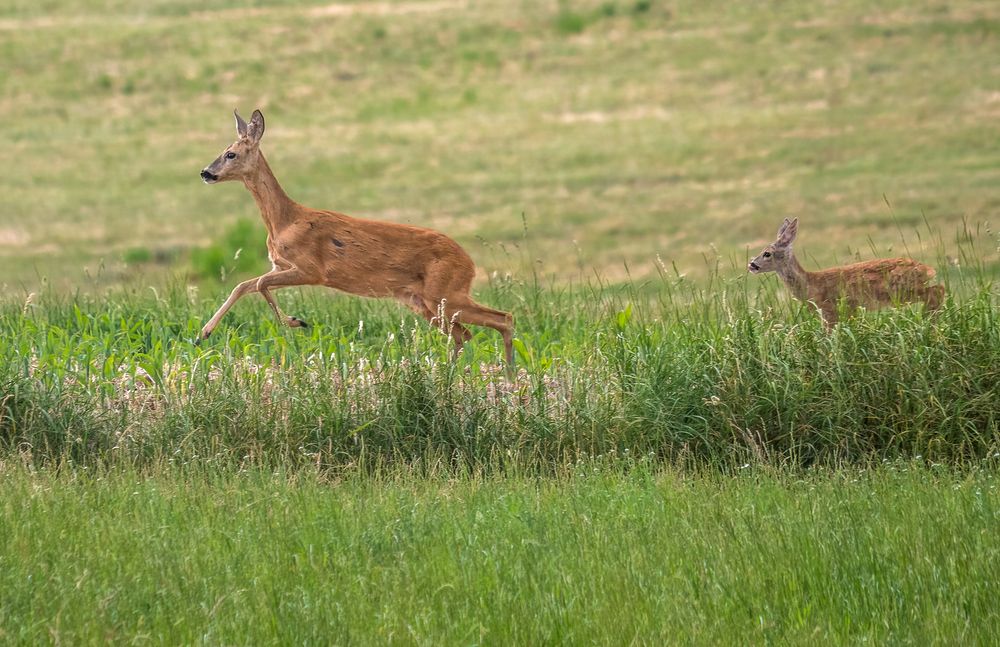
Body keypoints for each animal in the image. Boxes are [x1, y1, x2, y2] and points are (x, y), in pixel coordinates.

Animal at [196, 109, 516, 374]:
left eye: (230, 154)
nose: (205, 173)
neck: (284, 220)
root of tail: (469, 262)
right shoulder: (280, 266)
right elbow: (244, 285)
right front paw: (204, 333)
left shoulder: (312, 270)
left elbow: (259, 284)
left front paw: (297, 321)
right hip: (425, 302)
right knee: (464, 333)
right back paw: (452, 377)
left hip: (445, 293)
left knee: (504, 317)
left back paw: (510, 377)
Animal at [752, 219, 944, 330]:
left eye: (767, 253)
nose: (751, 264)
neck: (810, 284)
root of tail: (927, 268)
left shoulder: (830, 308)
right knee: (937, 290)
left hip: (900, 290)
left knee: (937, 290)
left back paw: (930, 321)